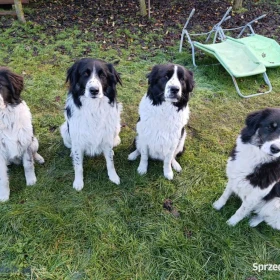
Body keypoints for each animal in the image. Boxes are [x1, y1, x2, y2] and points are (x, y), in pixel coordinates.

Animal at [0, 67, 44, 201]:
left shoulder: (25, 142)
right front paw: (4, 196)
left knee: (34, 152)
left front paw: (31, 182)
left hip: (34, 140)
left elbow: (28, 165)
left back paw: (39, 158)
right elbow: (2, 177)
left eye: (1, 85)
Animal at [60, 58, 122, 190]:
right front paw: (78, 182)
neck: (93, 108)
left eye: (102, 75)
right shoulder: (78, 139)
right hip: (65, 130)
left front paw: (113, 177)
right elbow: (78, 165)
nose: (94, 90)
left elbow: (110, 162)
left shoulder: (107, 137)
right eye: (85, 74)